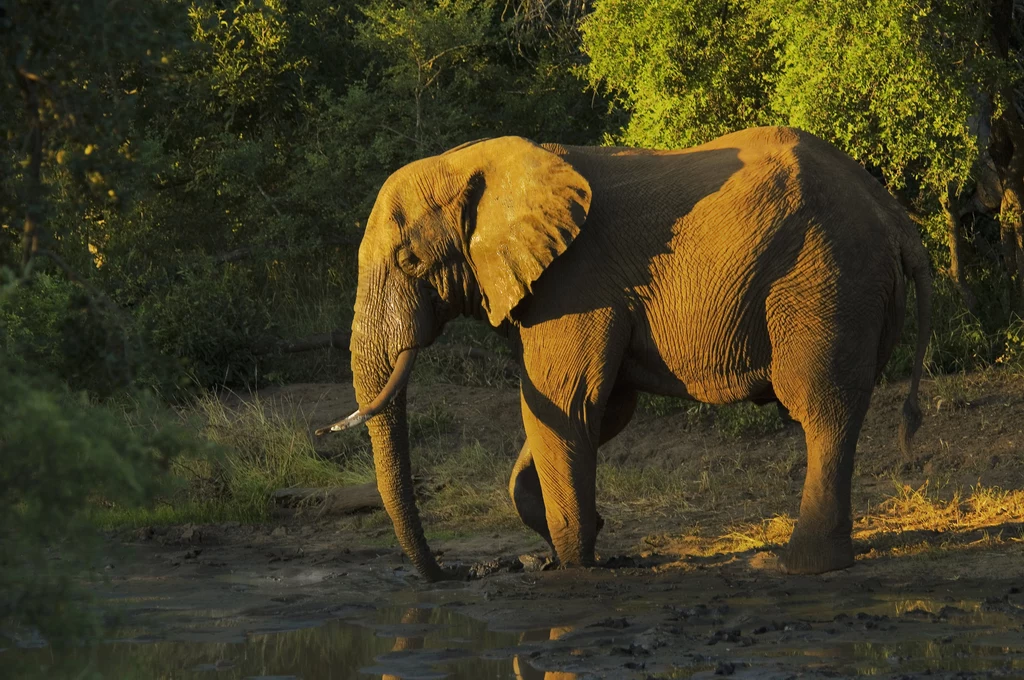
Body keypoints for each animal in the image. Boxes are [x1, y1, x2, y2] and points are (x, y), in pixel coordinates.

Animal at [321, 129, 937, 585]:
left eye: (410, 260)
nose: (454, 574)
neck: (485, 163)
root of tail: (895, 216)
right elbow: (600, 410)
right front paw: (582, 535)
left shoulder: (574, 282)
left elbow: (568, 403)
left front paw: (577, 565)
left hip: (825, 282)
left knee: (821, 410)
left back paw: (792, 566)